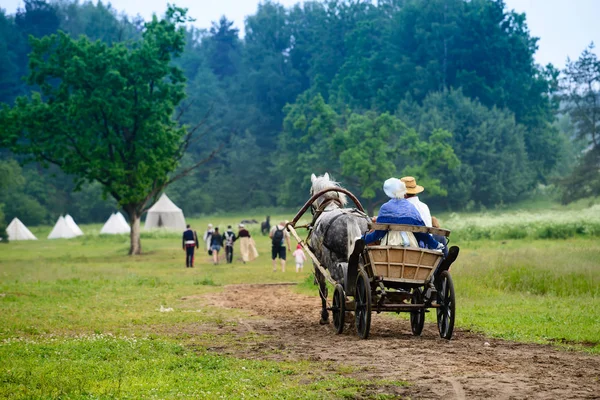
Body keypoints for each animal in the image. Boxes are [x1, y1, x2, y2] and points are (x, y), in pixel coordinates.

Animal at [310, 173, 370, 324]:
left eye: (311, 191)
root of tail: (350, 218)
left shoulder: (317, 262)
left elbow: (322, 289)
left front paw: (324, 316)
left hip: (332, 261)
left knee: (341, 283)